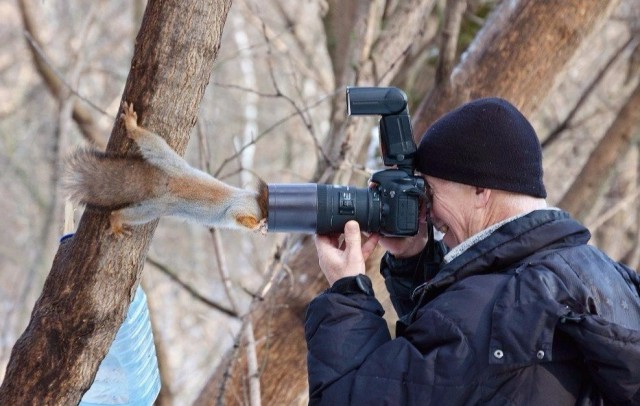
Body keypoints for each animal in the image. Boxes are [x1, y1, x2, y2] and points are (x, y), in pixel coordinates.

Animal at [63, 101, 268, 236]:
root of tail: (168, 180)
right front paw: (257, 226)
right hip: (156, 206)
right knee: (121, 213)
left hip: (164, 159)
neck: (259, 200)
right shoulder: (244, 205)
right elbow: (236, 214)